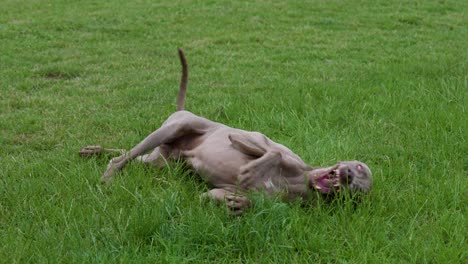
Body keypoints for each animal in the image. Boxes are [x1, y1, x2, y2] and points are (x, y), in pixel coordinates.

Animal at [80, 49, 372, 214]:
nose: (347, 175)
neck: (302, 178)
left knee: (133, 155)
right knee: (120, 158)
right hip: (176, 128)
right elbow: (271, 151)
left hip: (164, 161)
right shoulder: (253, 137)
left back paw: (93, 152)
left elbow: (221, 197)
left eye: (359, 189)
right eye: (359, 167)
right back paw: (106, 176)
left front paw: (238, 205)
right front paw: (252, 171)